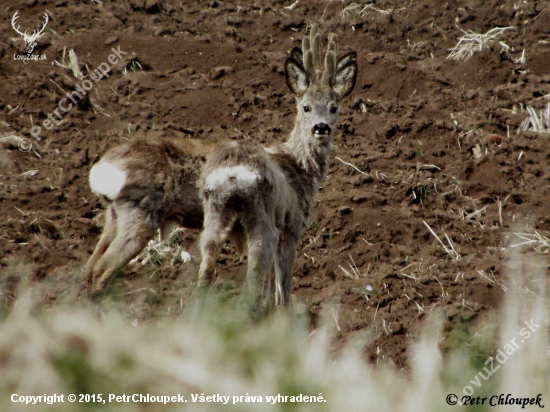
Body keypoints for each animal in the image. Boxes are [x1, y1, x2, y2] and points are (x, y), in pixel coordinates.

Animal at [198, 24, 358, 310]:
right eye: (306, 107)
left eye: (333, 107)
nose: (321, 128)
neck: (300, 169)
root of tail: (233, 174)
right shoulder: (291, 226)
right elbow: (282, 286)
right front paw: (283, 314)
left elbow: (270, 285)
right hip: (262, 216)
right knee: (255, 270)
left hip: (214, 214)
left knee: (206, 263)